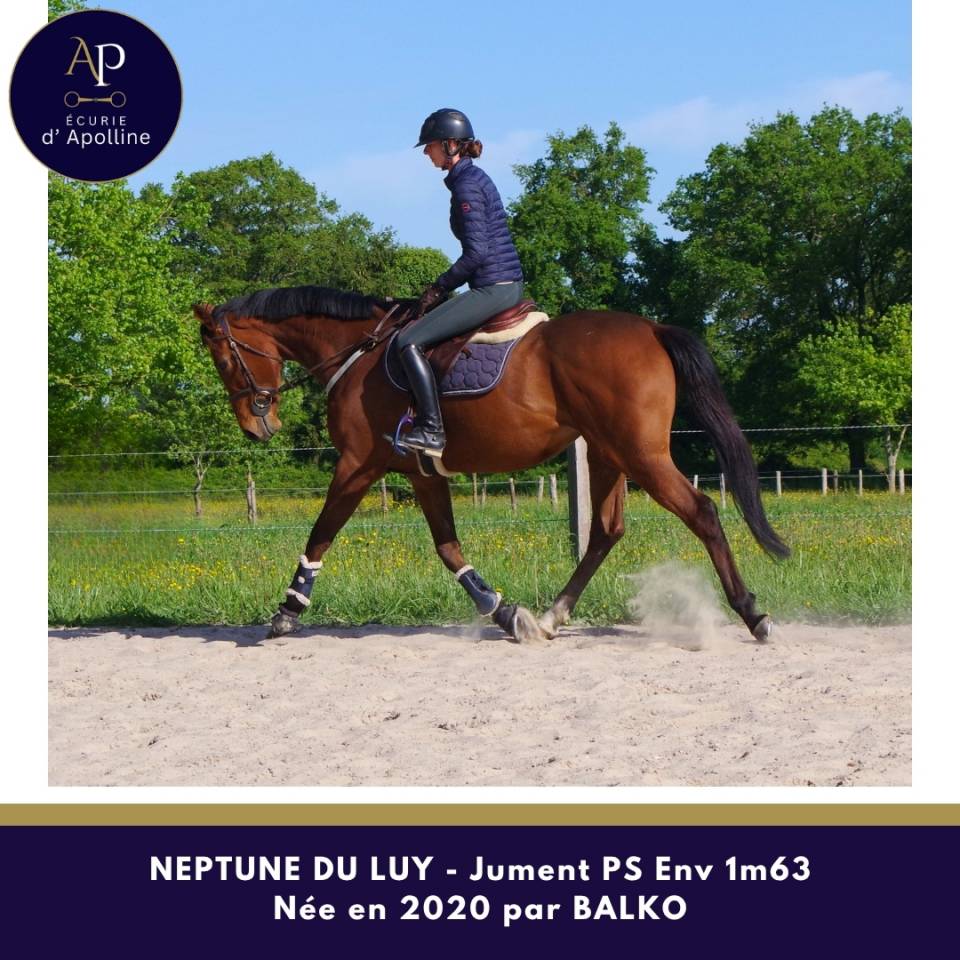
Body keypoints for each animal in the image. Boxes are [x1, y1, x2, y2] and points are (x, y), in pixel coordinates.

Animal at [192, 285, 789, 644]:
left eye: (223, 358)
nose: (256, 426)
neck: (360, 354)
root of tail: (651, 329)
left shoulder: (358, 465)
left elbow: (321, 534)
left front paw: (287, 610)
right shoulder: (421, 473)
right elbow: (448, 548)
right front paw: (504, 611)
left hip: (640, 454)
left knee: (702, 511)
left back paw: (752, 613)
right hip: (608, 453)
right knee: (605, 531)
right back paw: (551, 616)